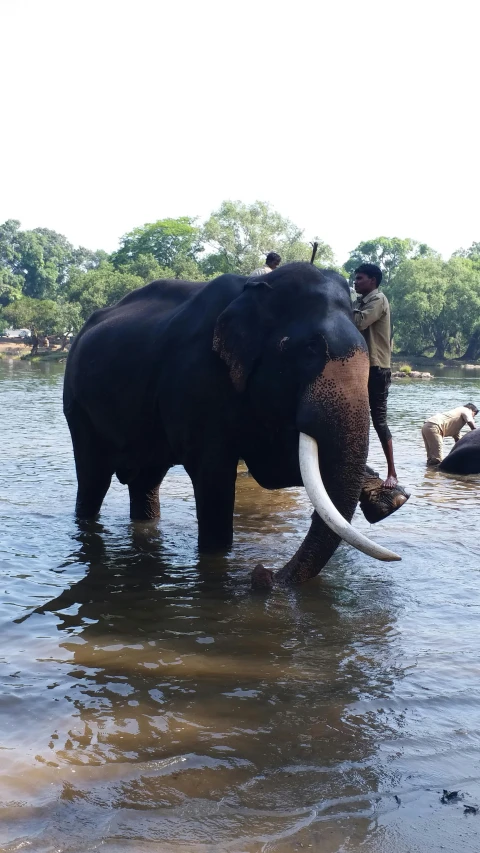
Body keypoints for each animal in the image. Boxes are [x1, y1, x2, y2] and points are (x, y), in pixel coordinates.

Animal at [63, 262, 404, 588]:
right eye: (310, 349)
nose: (262, 574)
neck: (255, 290)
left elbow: (276, 468)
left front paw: (388, 499)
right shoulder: (195, 379)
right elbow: (214, 474)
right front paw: (216, 557)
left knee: (146, 481)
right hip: (77, 406)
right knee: (94, 478)